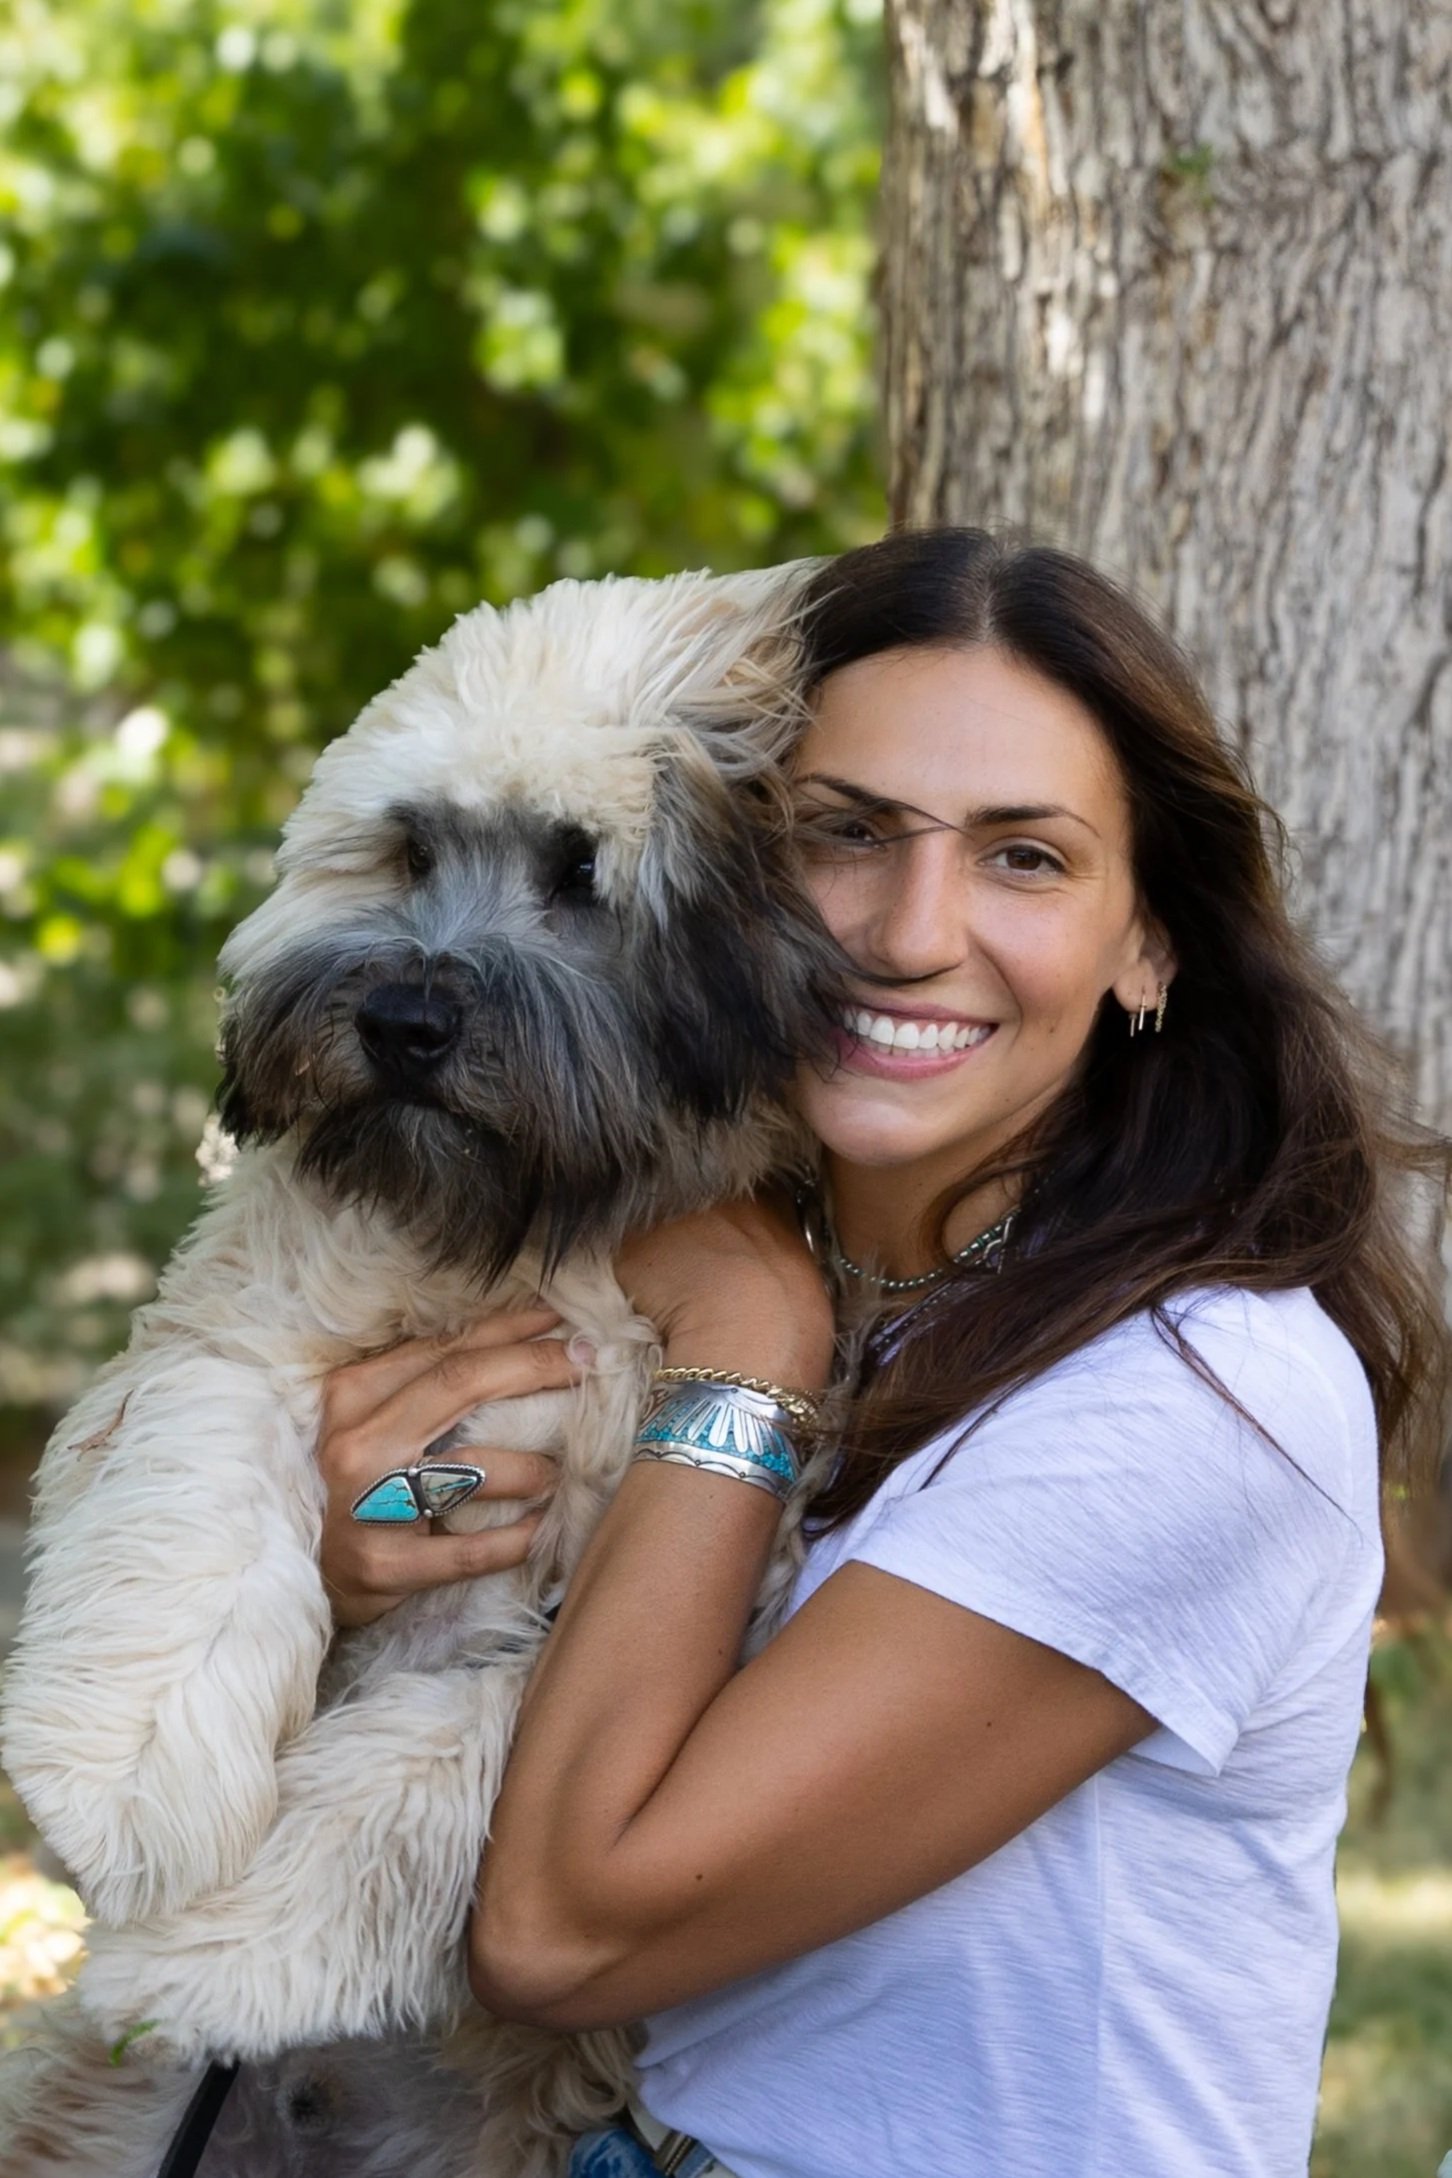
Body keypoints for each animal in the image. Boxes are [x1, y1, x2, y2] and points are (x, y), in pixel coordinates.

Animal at [0, 563, 840, 2173]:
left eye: (579, 873)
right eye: (410, 847)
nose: (404, 1024)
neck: (536, 1234)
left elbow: (446, 1751)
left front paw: (219, 1951)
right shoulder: (247, 1314)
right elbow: (201, 1487)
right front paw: (126, 1777)